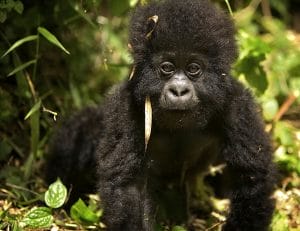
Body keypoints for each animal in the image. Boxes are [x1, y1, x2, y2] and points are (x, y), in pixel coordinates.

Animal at [46, 0, 274, 231]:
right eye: (167, 67)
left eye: (194, 68)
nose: (179, 91)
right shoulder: (125, 106)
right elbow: (127, 184)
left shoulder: (237, 106)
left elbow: (251, 177)